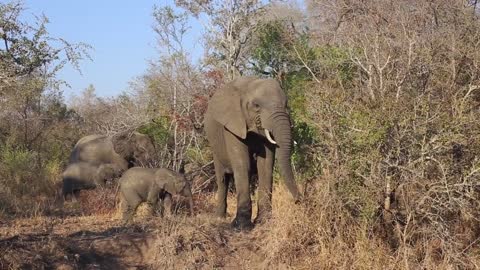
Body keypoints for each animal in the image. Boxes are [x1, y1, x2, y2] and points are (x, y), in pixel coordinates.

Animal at [204, 76, 302, 230]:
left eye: (286, 104)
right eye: (256, 106)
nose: (298, 201)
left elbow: (266, 166)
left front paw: (264, 221)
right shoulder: (232, 125)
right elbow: (243, 165)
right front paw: (241, 226)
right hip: (215, 148)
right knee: (222, 179)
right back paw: (219, 218)